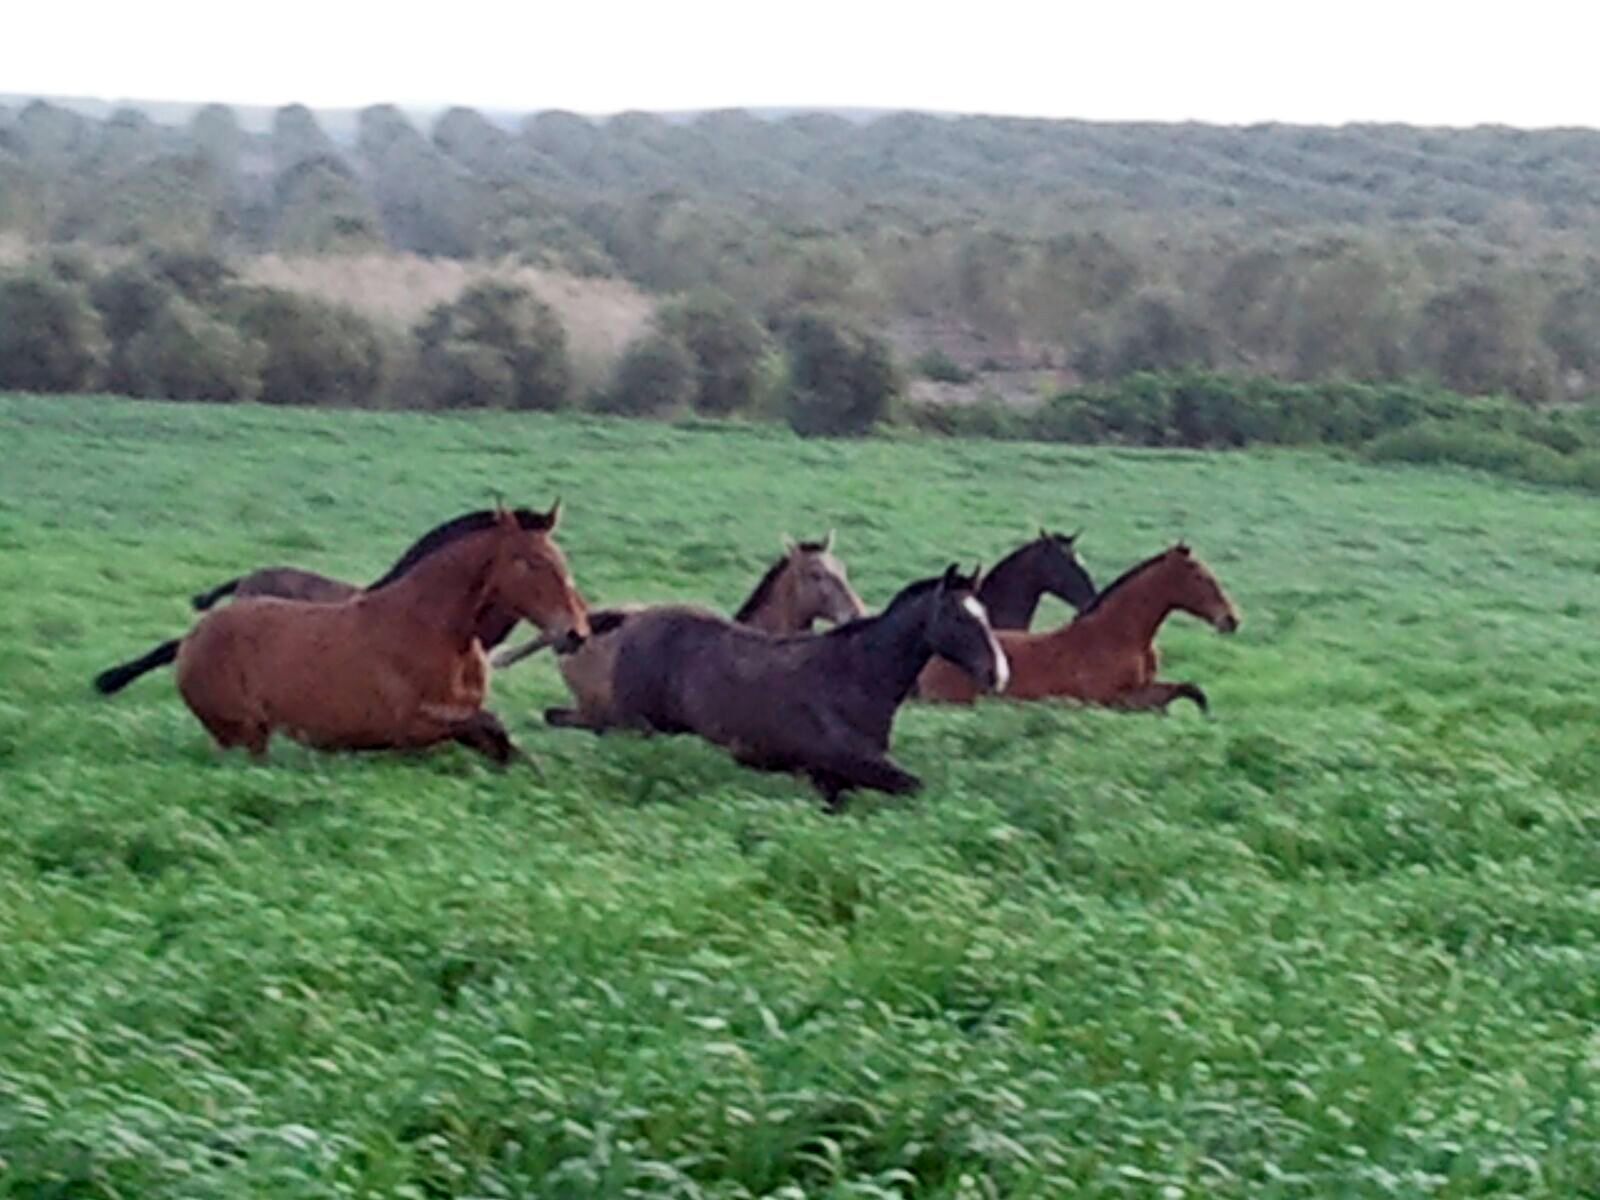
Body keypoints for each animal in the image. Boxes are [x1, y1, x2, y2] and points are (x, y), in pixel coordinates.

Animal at [915, 544, 1235, 713]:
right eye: (1202, 578)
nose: (1232, 619)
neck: (1120, 636)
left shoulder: (1145, 690)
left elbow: (1188, 690)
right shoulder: (1114, 700)